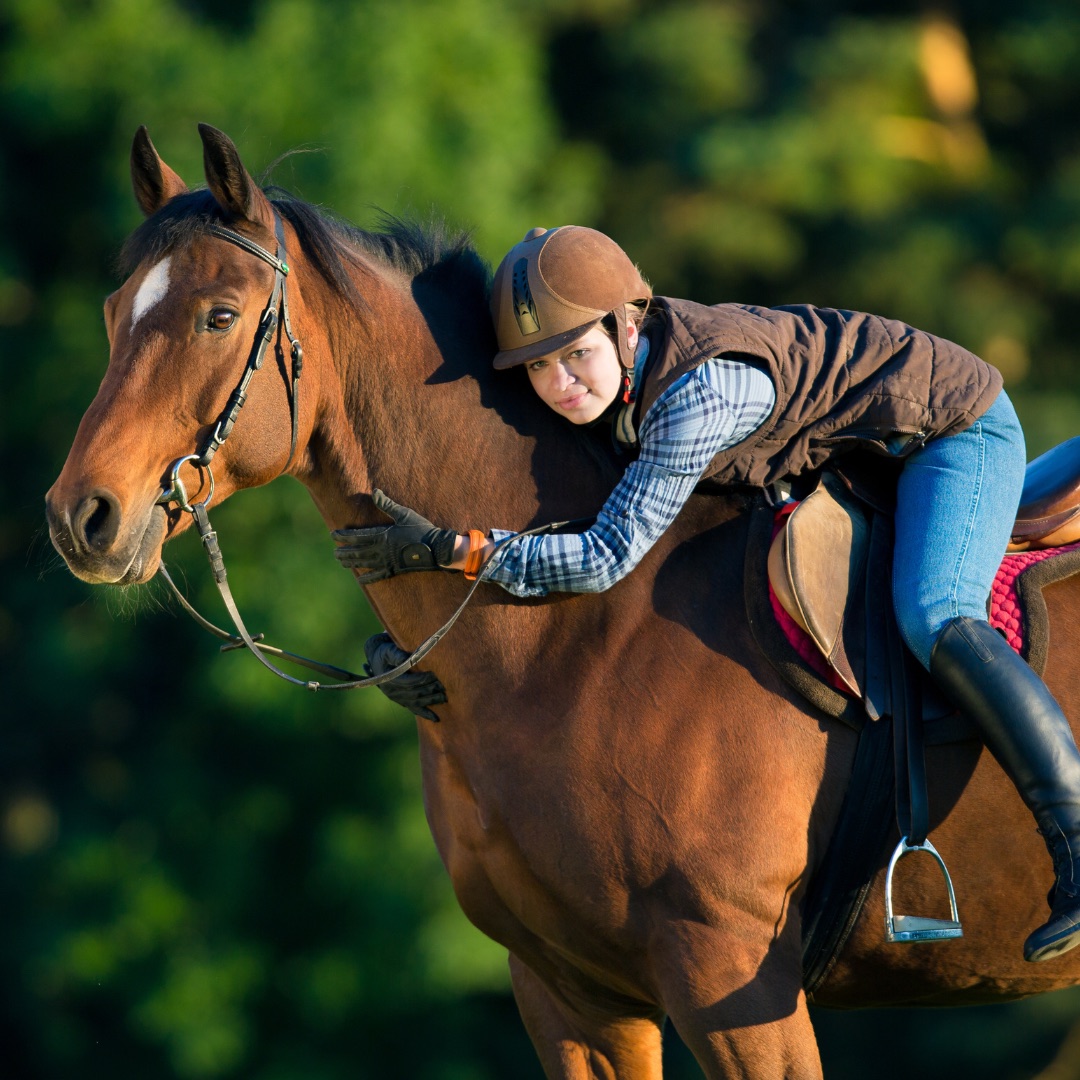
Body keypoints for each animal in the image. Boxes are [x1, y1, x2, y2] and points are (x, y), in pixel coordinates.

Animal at [45, 124, 1080, 1079]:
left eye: (219, 316)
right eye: (111, 311)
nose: (80, 517)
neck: (571, 645)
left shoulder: (729, 976)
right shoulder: (569, 989)